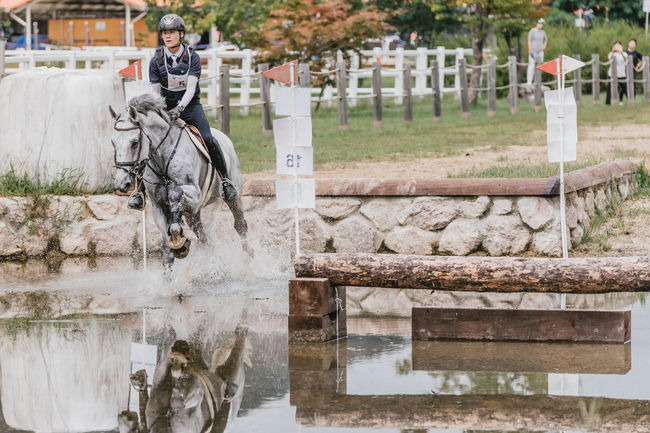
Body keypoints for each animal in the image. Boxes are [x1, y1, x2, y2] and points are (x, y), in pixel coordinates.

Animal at [109, 94, 248, 270]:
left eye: (134, 143)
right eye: (113, 142)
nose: (122, 184)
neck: (161, 159)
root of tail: (224, 137)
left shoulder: (195, 195)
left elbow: (175, 194)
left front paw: (178, 234)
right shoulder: (158, 206)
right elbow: (167, 250)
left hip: (232, 196)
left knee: (240, 225)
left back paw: (249, 259)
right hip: (193, 215)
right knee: (205, 239)